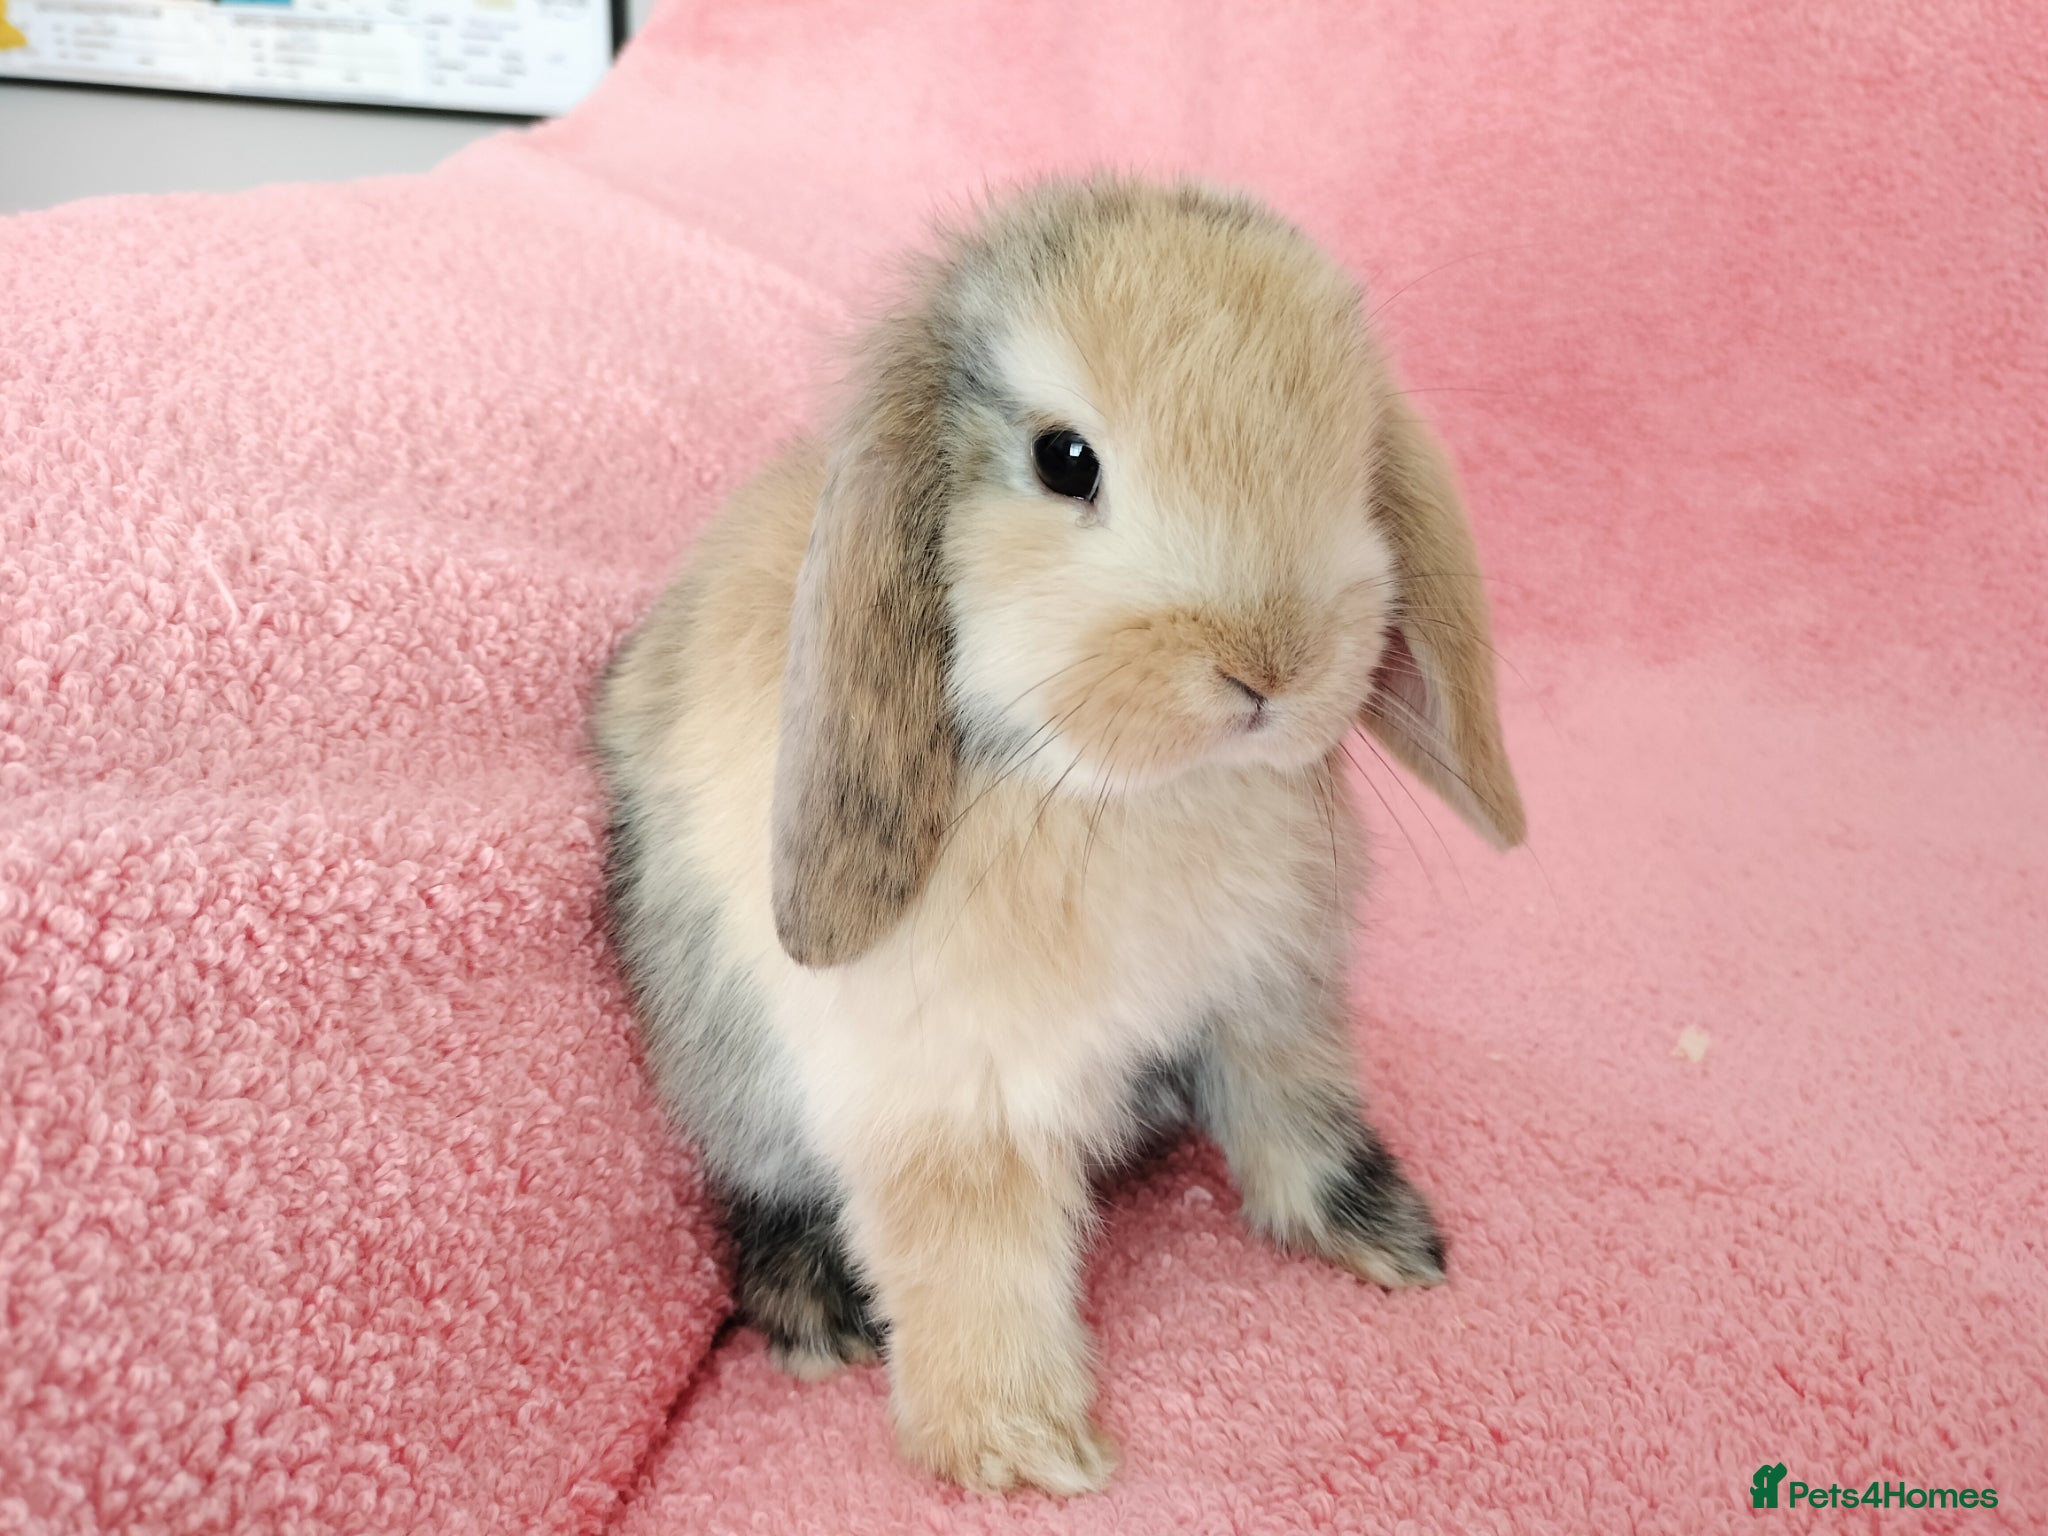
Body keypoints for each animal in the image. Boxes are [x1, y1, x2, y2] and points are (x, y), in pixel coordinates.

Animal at [592, 174, 1525, 1497]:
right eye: (1063, 459)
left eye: (1349, 454)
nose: (1268, 666)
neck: (1117, 791)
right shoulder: (950, 1103)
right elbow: (971, 1264)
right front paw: (1023, 1453)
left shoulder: (1268, 1003)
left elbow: (1297, 1121)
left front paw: (1389, 1242)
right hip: (724, 1074)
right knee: (759, 1186)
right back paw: (814, 1315)